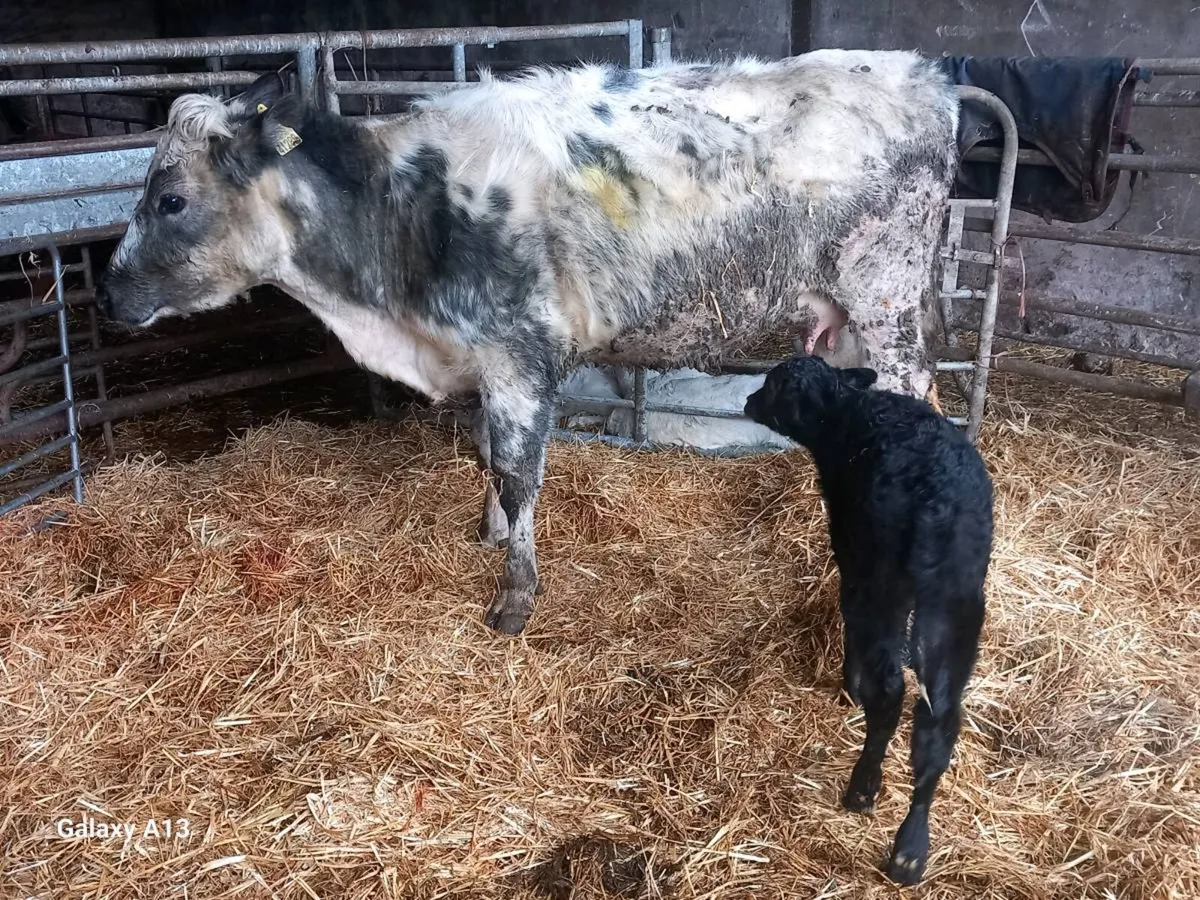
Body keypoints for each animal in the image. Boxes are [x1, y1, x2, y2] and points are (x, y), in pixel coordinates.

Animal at [96, 50, 960, 636]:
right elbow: (486, 454)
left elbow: (516, 471)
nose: (105, 294)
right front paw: (490, 535)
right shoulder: (484, 358)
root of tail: (923, 74)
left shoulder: (519, 351)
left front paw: (515, 596)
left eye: (170, 200)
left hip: (885, 300)